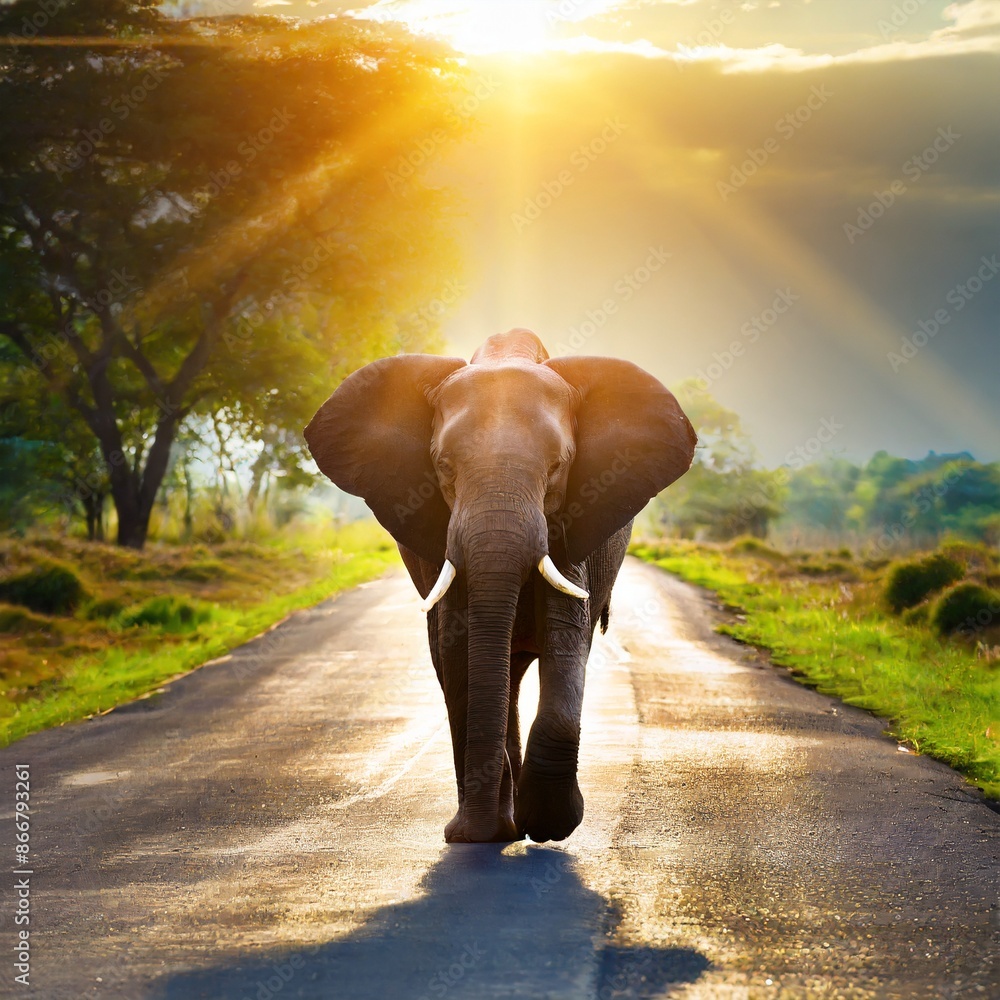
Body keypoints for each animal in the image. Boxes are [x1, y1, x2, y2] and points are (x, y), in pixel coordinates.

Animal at [304, 329, 696, 844]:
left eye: (558, 467)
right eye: (443, 466)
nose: (471, 832)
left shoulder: (574, 517)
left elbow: (566, 635)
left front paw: (547, 825)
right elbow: (458, 648)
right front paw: (477, 833)